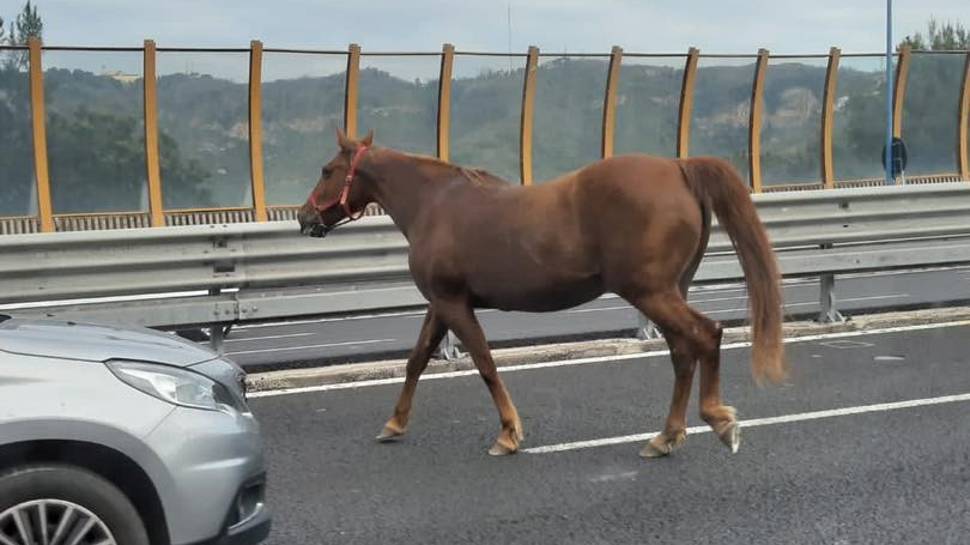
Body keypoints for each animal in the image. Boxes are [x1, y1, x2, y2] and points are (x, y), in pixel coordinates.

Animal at [298, 130, 784, 456]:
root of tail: (678, 168)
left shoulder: (453, 304)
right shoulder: (441, 304)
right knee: (684, 351)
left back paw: (718, 421)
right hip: (668, 291)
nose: (304, 217)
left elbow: (485, 364)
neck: (434, 205)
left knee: (705, 336)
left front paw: (508, 433)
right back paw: (666, 436)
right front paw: (395, 423)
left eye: (326, 170)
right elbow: (416, 360)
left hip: (651, 292)